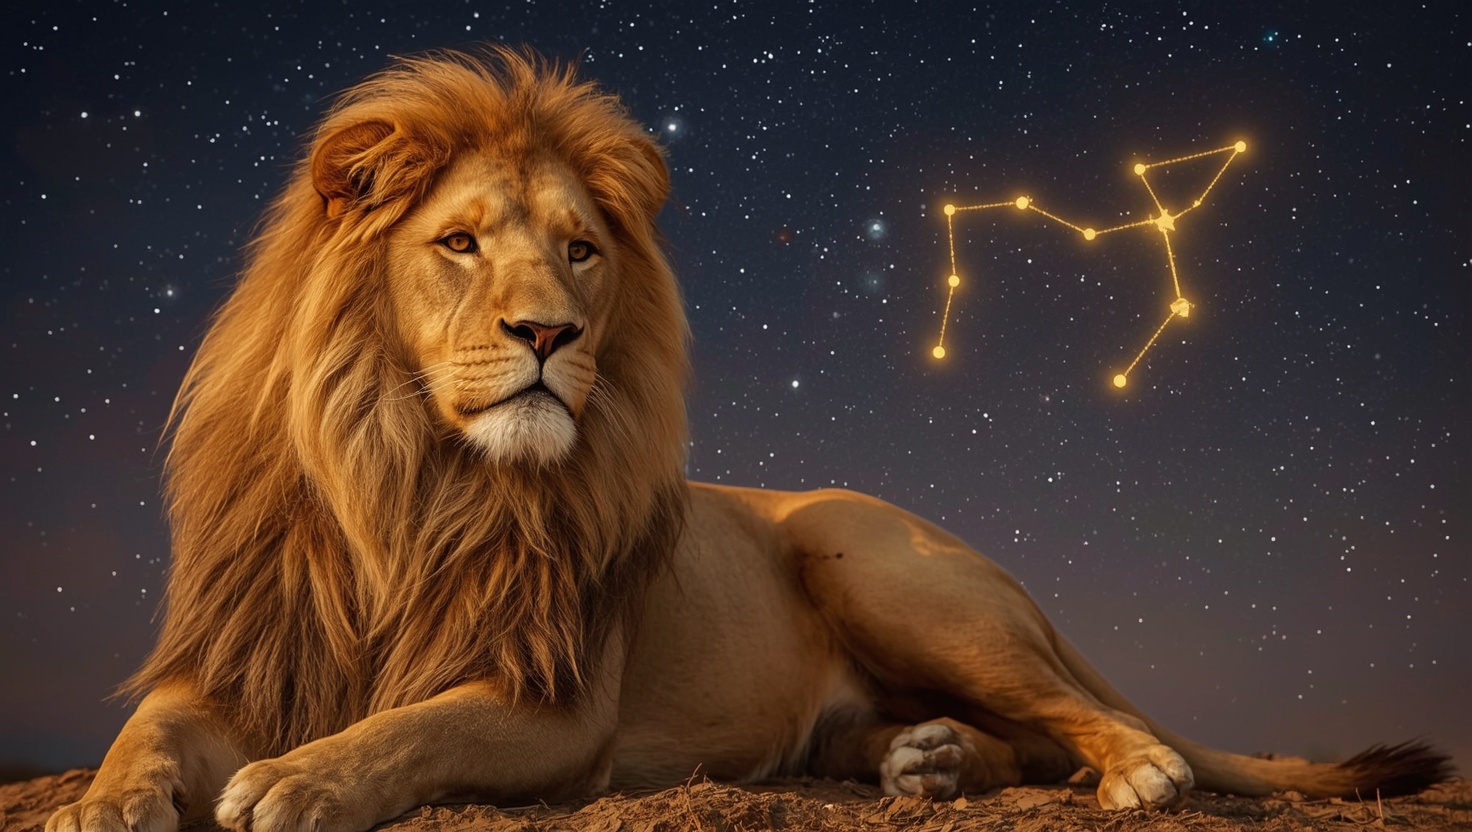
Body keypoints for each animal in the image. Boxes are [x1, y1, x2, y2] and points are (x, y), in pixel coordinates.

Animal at [48, 48, 1450, 832]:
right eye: (456, 241)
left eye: (581, 249)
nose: (549, 332)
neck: (409, 475)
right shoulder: (239, 657)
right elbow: (147, 731)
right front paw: (108, 802)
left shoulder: (552, 703)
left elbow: (409, 732)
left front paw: (299, 782)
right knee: (987, 735)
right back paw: (925, 761)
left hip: (869, 557)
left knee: (1078, 713)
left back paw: (1130, 769)